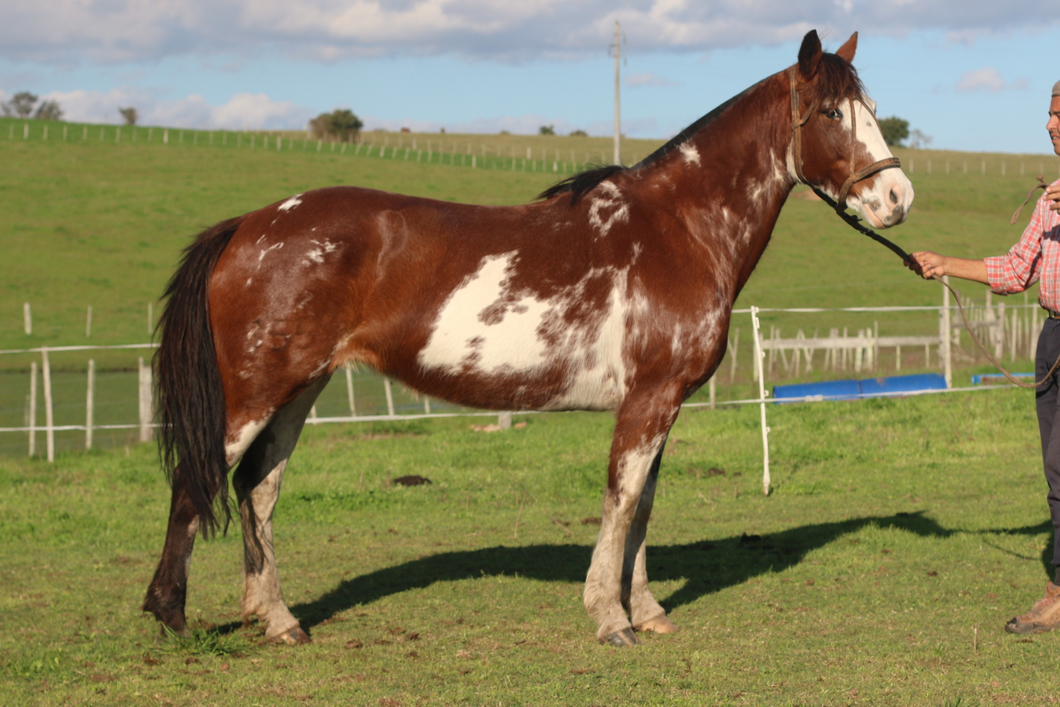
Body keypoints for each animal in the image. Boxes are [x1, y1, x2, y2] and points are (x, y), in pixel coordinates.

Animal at [143, 29, 914, 647]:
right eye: (831, 113)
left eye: (873, 109)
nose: (898, 198)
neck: (678, 228)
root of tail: (248, 226)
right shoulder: (647, 402)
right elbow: (621, 501)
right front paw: (611, 618)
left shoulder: (661, 401)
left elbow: (643, 505)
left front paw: (648, 610)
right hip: (253, 392)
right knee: (196, 482)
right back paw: (172, 615)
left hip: (301, 387)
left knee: (258, 489)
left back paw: (279, 620)